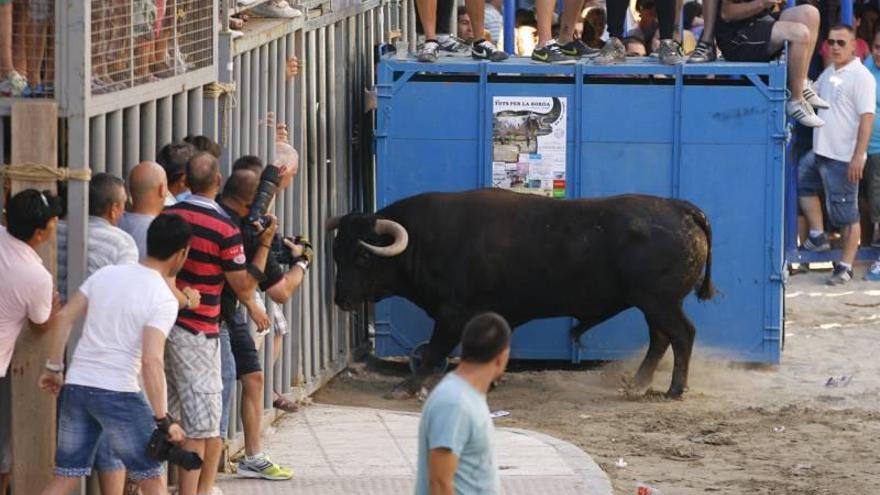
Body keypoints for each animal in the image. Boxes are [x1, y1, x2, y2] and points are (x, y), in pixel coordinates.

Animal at [326, 190, 712, 400]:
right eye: (336, 253)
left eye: (362, 256)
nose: (340, 299)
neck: (426, 240)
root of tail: (680, 208)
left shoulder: (452, 314)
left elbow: (435, 350)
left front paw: (406, 386)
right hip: (652, 304)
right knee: (660, 339)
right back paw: (637, 384)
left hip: (660, 302)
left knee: (682, 335)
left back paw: (674, 390)